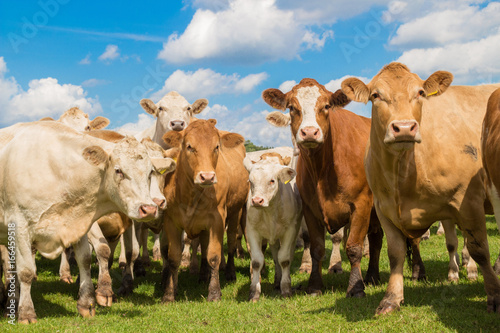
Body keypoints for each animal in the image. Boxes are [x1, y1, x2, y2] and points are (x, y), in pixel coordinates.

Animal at [0, 121, 171, 322]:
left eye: (150, 172)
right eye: (118, 171)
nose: (149, 208)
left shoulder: (79, 222)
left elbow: (86, 259)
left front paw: (86, 302)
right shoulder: (19, 226)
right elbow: (26, 271)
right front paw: (26, 313)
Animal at [160, 117, 248, 300]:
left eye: (216, 147)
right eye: (189, 146)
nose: (207, 176)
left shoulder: (217, 220)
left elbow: (213, 255)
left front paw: (214, 292)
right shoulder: (171, 221)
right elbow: (173, 258)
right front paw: (169, 293)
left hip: (235, 212)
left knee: (231, 241)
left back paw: (229, 272)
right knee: (203, 244)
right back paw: (203, 275)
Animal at [243, 153, 300, 300]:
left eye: (272, 181)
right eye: (250, 181)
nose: (257, 200)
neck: (269, 211)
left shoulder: (290, 231)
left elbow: (284, 259)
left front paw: (286, 289)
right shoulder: (252, 231)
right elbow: (257, 261)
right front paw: (254, 292)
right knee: (275, 255)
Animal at [262, 78, 382, 296]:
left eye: (326, 106)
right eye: (292, 108)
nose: (310, 132)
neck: (323, 168)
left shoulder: (361, 205)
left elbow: (353, 247)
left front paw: (356, 287)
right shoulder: (310, 208)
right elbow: (316, 247)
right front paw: (314, 285)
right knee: (377, 238)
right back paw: (372, 276)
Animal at [342, 62, 500, 314]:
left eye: (420, 93)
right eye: (376, 95)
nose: (405, 127)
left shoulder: (467, 201)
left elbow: (479, 249)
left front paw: (494, 295)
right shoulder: (384, 209)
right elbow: (396, 254)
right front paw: (391, 299)